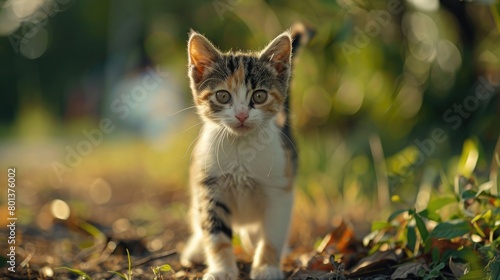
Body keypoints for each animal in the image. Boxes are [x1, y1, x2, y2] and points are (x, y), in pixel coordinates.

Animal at [182, 28, 300, 280]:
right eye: (223, 96)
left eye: (259, 96)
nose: (242, 115)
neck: (240, 147)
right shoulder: (209, 188)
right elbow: (216, 235)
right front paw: (222, 270)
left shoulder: (279, 191)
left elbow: (272, 235)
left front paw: (267, 268)